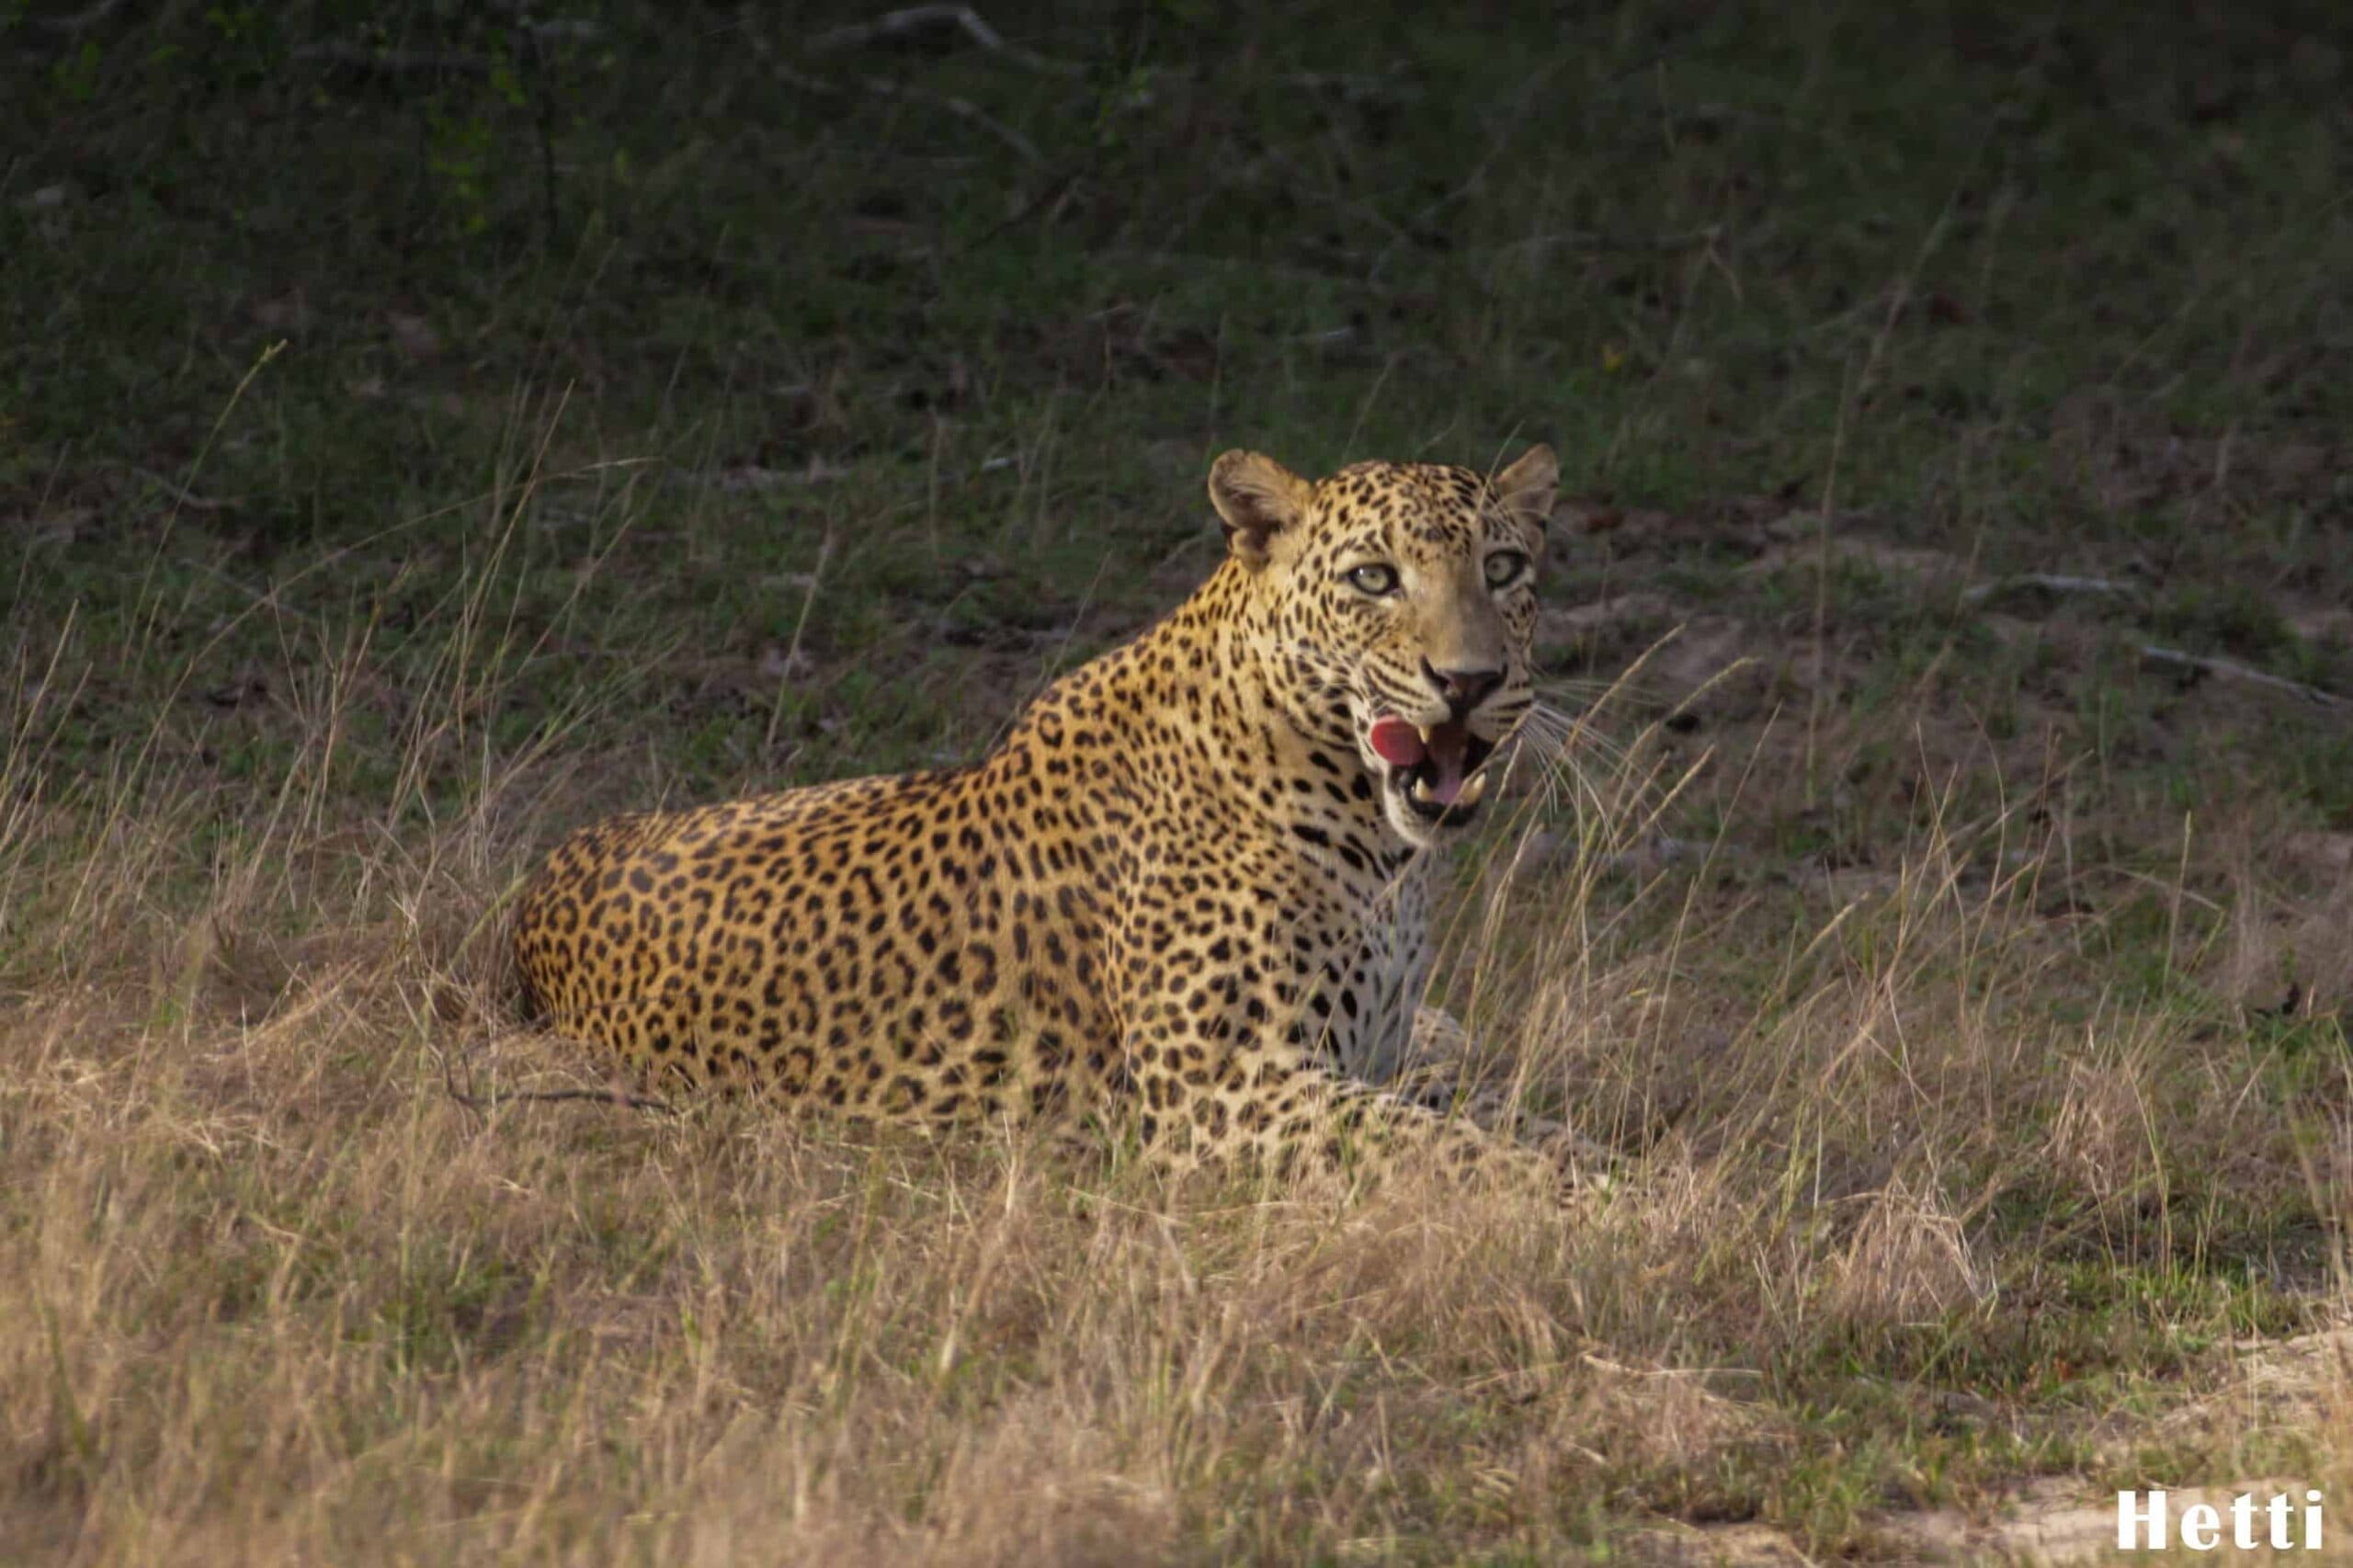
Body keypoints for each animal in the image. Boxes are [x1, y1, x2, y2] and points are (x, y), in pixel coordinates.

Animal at [512, 443, 1567, 1184]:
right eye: (1372, 579)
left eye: (1504, 568)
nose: (1469, 682)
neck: (1377, 845)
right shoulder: (1221, 1085)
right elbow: (1452, 1148)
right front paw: (1586, 1205)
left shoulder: (1359, 1060)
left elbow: (1501, 1117)